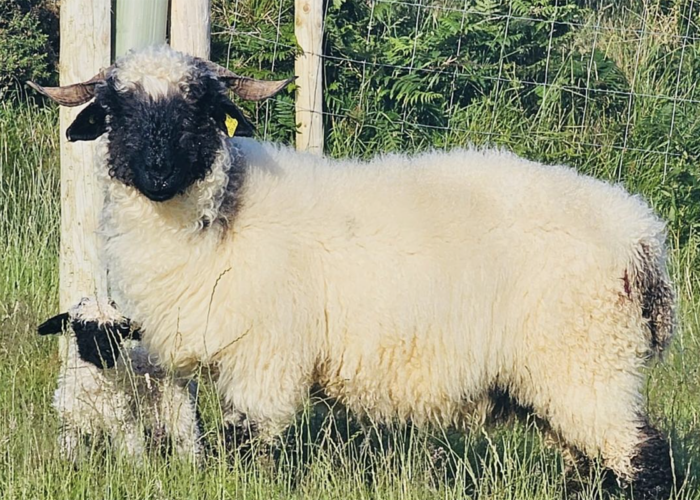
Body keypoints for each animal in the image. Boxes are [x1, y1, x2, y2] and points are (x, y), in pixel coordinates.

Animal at [38, 297, 203, 462]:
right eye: (82, 327)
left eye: (119, 331)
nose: (107, 354)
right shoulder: (70, 425)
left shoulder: (124, 423)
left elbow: (132, 456)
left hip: (177, 403)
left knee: (187, 437)